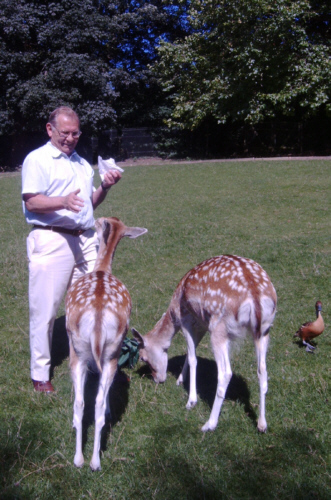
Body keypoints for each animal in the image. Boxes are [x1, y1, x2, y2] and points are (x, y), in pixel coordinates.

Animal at [65, 217, 147, 470]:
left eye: (101, 222)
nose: (94, 220)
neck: (101, 269)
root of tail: (99, 315)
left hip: (80, 350)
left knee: (84, 402)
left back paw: (85, 460)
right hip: (109, 351)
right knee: (91, 403)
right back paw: (90, 459)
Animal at [134, 254, 278, 434]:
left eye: (143, 358)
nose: (157, 380)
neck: (173, 312)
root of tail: (255, 294)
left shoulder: (187, 319)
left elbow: (193, 358)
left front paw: (191, 400)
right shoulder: (202, 324)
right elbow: (190, 352)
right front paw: (180, 380)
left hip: (219, 328)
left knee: (225, 373)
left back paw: (209, 424)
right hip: (264, 330)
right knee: (262, 370)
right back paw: (262, 424)